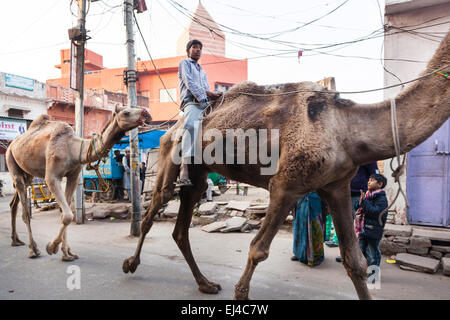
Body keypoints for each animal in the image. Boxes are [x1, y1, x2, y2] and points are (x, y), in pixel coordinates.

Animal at [7, 106, 151, 262]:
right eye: (126, 112)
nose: (146, 113)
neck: (73, 149)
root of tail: (12, 144)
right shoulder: (52, 177)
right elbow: (68, 215)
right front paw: (52, 247)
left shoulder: (73, 177)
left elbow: (65, 214)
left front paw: (67, 253)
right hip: (11, 159)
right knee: (25, 211)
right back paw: (33, 250)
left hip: (27, 173)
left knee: (14, 203)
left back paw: (16, 241)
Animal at [121, 30, 448, 300]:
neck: (346, 128)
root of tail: (171, 127)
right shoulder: (285, 184)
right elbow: (257, 250)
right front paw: (240, 293)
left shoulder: (337, 185)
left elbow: (355, 261)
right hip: (171, 153)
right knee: (154, 208)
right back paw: (131, 264)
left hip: (200, 177)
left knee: (182, 226)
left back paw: (206, 284)